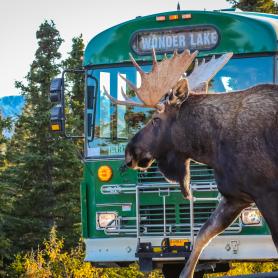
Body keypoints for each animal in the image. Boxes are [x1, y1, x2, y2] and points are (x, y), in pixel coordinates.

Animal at [103, 48, 278, 276]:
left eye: (156, 119)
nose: (129, 152)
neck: (211, 146)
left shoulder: (267, 192)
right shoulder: (236, 196)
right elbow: (202, 235)